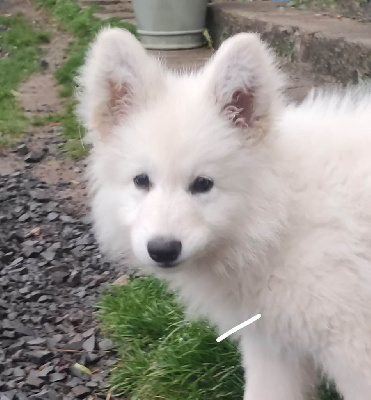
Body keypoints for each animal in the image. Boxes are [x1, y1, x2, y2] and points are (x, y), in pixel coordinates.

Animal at [77, 28, 371, 400]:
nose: (162, 249)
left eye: (203, 184)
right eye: (141, 181)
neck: (283, 215)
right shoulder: (273, 347)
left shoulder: (355, 351)